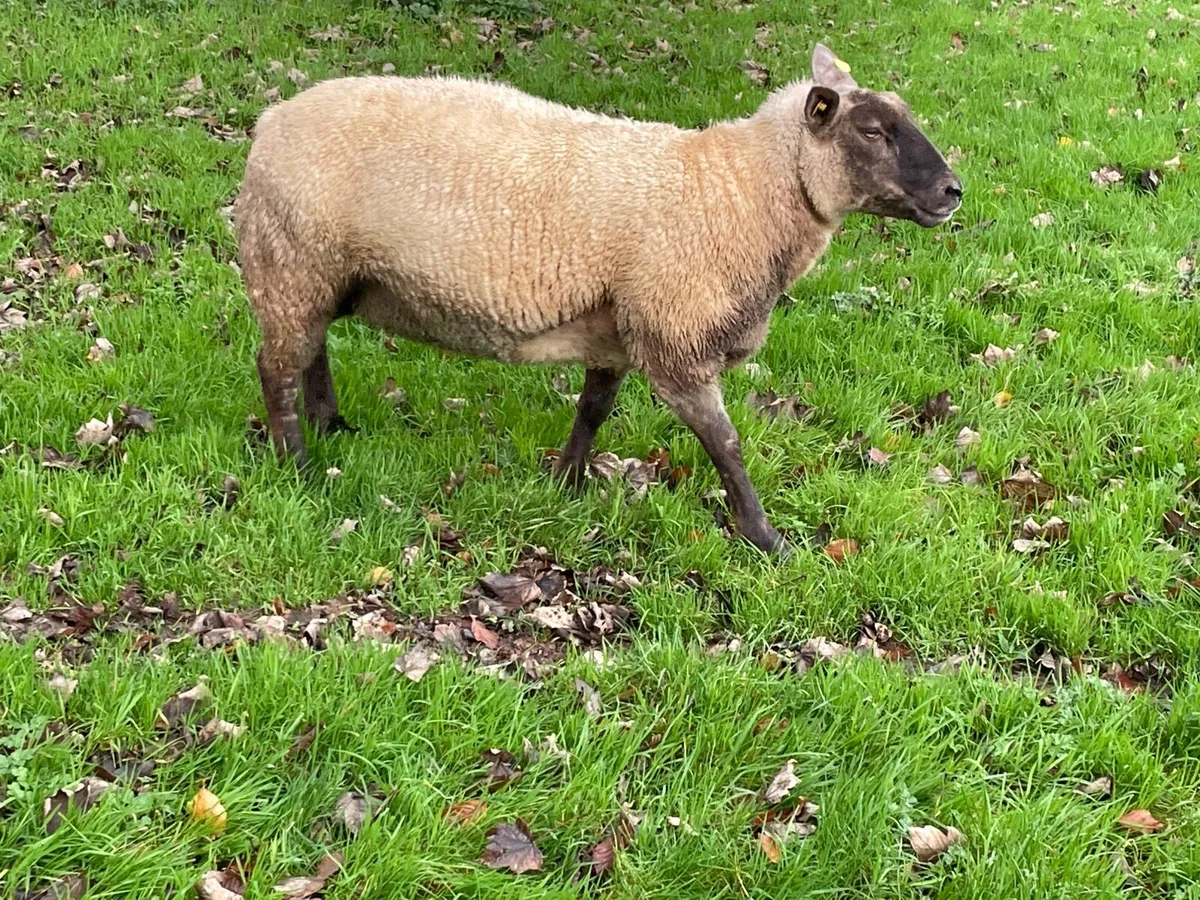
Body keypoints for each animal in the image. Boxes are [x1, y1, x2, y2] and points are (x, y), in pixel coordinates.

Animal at [235, 43, 962, 555]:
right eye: (872, 131)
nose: (955, 192)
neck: (738, 191)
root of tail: (269, 122)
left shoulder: (618, 331)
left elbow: (593, 410)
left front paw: (568, 482)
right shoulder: (676, 339)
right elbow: (726, 444)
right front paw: (767, 540)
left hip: (319, 268)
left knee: (311, 350)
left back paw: (332, 425)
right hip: (290, 256)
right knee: (276, 367)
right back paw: (298, 464)